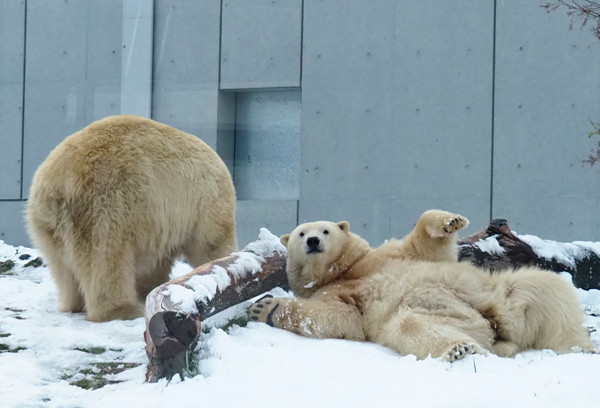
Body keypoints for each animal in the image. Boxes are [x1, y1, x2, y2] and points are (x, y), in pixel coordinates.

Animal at [27, 115, 237, 322]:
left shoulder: (161, 224)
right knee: (106, 257)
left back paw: (74, 304)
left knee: (62, 267)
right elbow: (211, 244)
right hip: (106, 205)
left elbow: (155, 264)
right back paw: (122, 309)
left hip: (47, 225)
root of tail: (59, 187)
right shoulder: (206, 201)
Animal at [250, 210, 596, 360]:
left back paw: (582, 347)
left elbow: (424, 245)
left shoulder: (383, 257)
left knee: (546, 289)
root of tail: (500, 332)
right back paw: (459, 349)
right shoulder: (335, 294)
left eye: (325, 230)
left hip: (499, 292)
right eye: (300, 232)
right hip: (456, 316)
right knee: (412, 325)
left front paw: (452, 221)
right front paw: (264, 306)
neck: (342, 272)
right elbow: (335, 318)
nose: (311, 241)